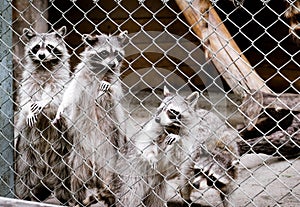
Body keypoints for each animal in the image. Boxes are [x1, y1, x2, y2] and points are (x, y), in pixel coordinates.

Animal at [15, 25, 71, 204]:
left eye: (50, 47)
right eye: (36, 47)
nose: (41, 55)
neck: (44, 65)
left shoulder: (61, 80)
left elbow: (57, 97)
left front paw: (44, 102)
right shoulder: (28, 79)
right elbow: (25, 99)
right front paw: (28, 110)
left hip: (64, 149)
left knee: (66, 177)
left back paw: (67, 198)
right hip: (26, 147)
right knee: (25, 174)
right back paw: (27, 197)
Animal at [52, 31, 127, 207]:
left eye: (117, 53)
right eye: (104, 53)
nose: (113, 64)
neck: (100, 70)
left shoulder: (113, 83)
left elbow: (113, 95)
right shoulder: (80, 79)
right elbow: (70, 95)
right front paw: (62, 107)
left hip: (109, 161)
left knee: (109, 182)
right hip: (79, 159)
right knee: (76, 180)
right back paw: (78, 200)